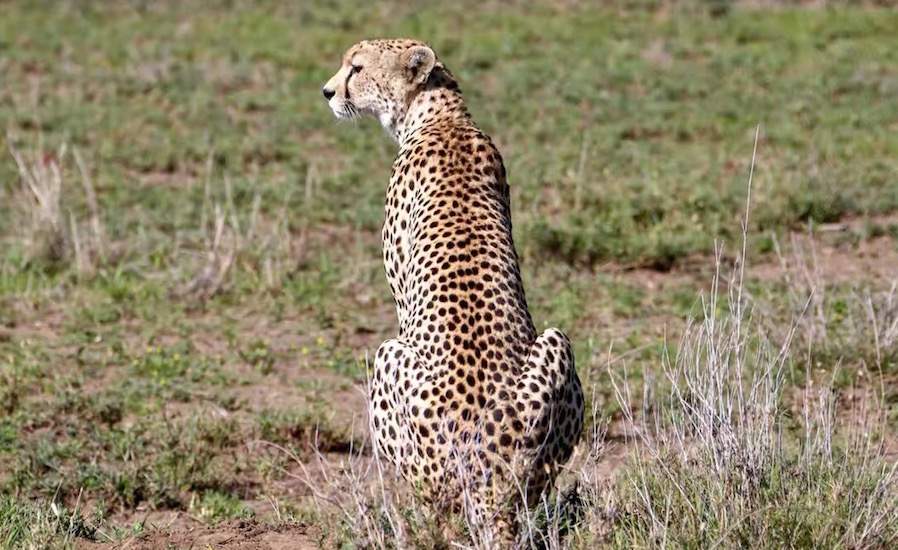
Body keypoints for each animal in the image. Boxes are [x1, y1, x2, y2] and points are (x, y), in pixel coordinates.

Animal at [320, 38, 580, 548]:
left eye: (356, 68)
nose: (327, 92)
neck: (442, 116)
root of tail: (488, 473)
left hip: (388, 358)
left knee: (435, 513)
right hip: (556, 347)